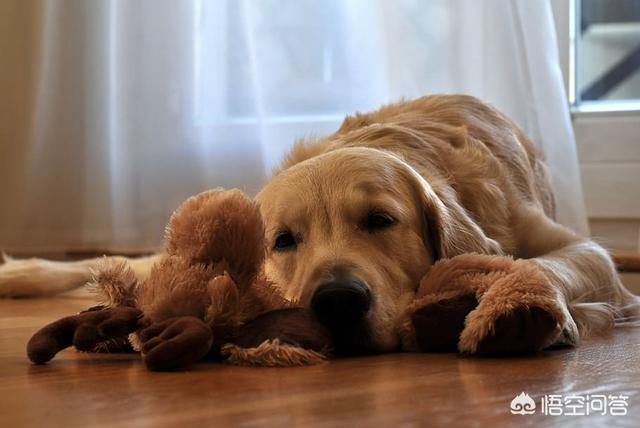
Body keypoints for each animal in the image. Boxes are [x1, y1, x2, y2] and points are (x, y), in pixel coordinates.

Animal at [2, 94, 636, 354]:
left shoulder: (581, 250)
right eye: (283, 240)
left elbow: (552, 264)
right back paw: (20, 273)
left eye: (380, 220)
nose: (336, 302)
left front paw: (524, 309)